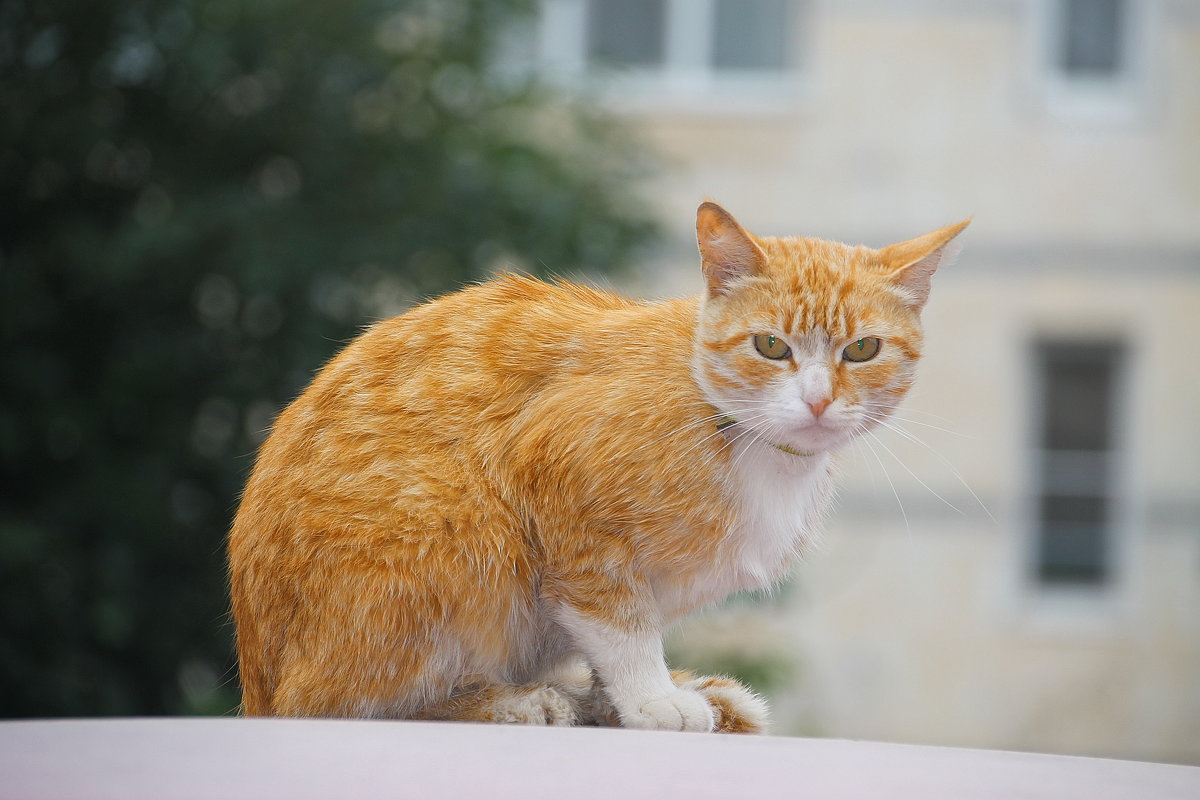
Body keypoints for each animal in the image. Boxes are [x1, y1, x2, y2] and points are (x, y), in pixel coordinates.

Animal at [229, 200, 969, 734]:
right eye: (770, 345)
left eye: (863, 349)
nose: (818, 401)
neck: (736, 432)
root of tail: (258, 680)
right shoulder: (557, 481)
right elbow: (621, 625)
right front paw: (651, 697)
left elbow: (613, 642)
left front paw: (624, 702)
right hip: (459, 530)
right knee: (340, 701)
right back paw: (515, 700)